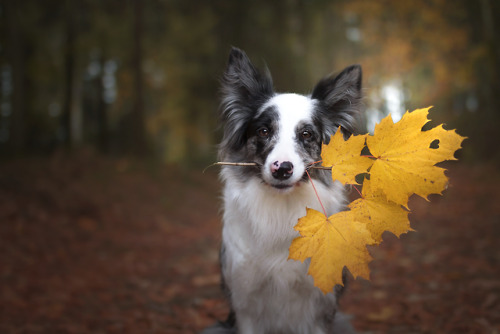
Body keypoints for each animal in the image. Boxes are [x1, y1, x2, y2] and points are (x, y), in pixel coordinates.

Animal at [203, 47, 364, 334]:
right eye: (264, 131)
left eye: (307, 134)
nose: (282, 169)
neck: (281, 207)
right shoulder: (245, 303)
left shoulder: (319, 305)